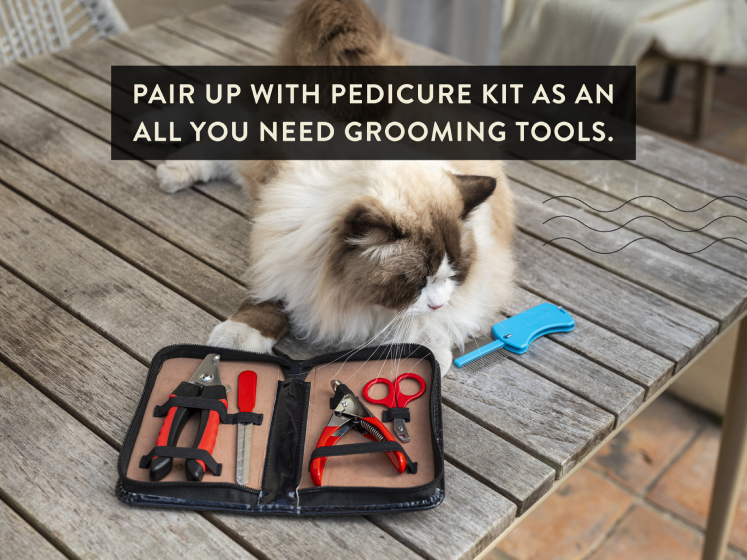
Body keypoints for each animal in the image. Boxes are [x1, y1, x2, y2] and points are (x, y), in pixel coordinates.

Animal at [155, 1, 516, 376]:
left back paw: (172, 167)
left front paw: (431, 352)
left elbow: (425, 327)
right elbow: (270, 296)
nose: (436, 304)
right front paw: (236, 339)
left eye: (454, 274)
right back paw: (162, 145)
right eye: (416, 282)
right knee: (207, 112)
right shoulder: (286, 242)